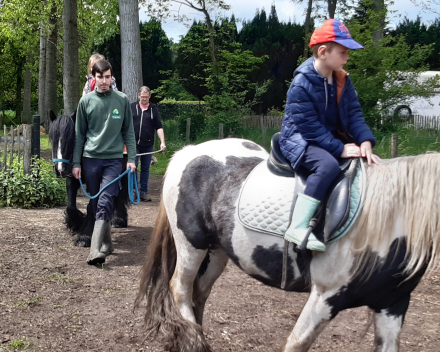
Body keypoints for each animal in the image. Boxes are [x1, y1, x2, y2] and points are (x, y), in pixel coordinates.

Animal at [50, 111, 129, 246]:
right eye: (52, 139)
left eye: (72, 139)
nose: (60, 169)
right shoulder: (72, 179)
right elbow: (71, 206)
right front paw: (76, 224)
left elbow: (91, 207)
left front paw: (85, 235)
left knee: (119, 194)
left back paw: (118, 219)